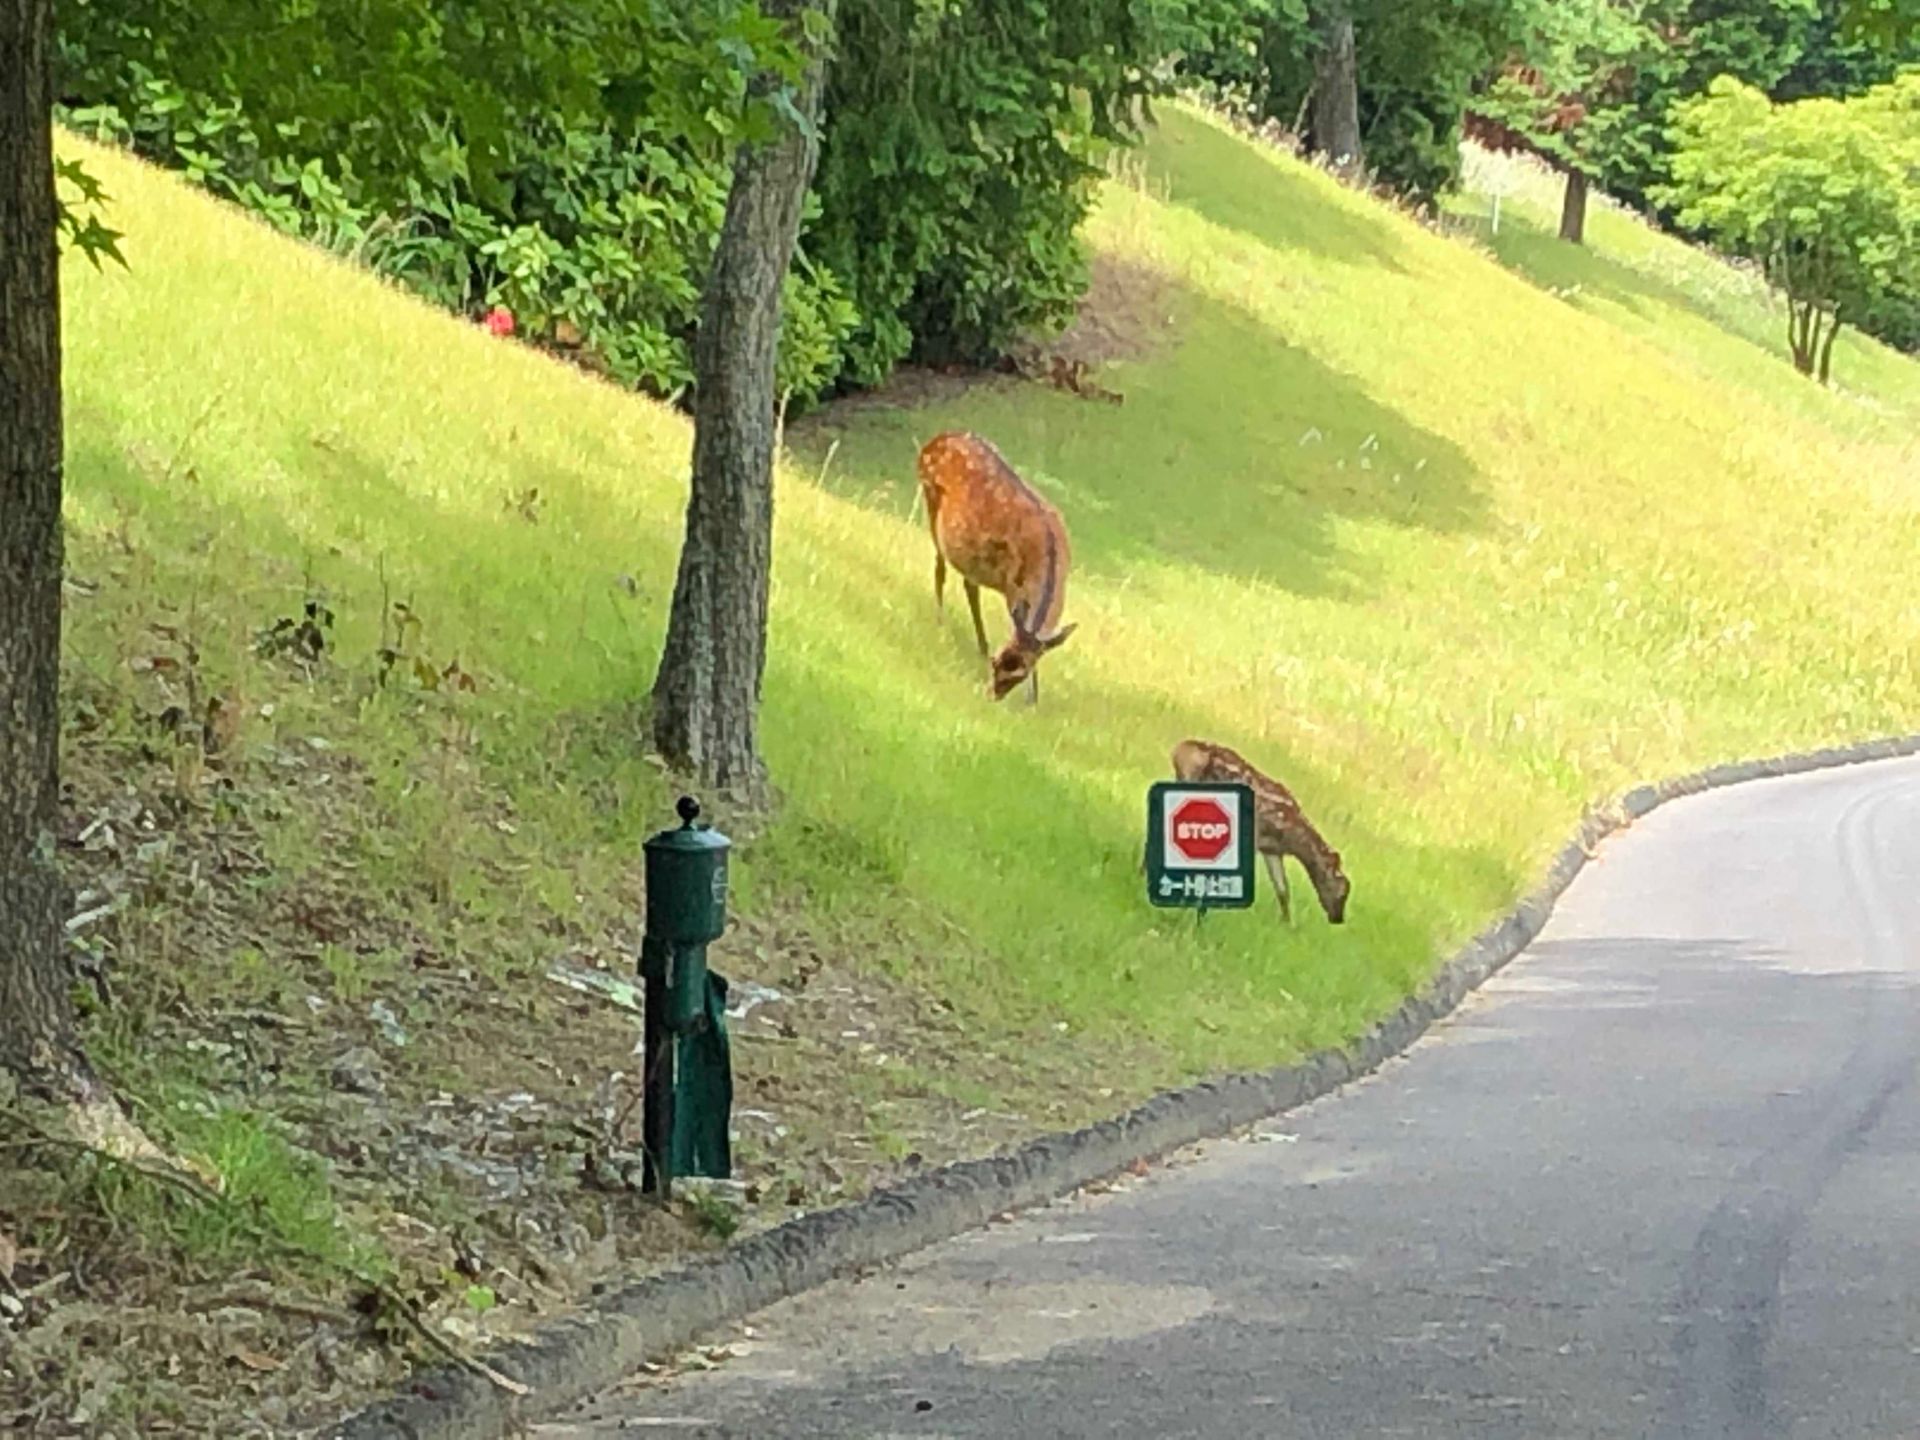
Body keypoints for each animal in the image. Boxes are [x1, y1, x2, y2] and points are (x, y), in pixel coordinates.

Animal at [917, 428, 1082, 706]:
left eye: (1020, 673)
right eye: (997, 662)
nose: (991, 695)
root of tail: (935, 440)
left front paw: (1033, 700)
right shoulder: (1012, 583)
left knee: (969, 583)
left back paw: (980, 643)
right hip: (931, 501)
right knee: (940, 567)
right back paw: (942, 622)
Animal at [1167, 737, 1351, 929]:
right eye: (1343, 890)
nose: (1338, 918)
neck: (1292, 838)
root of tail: (1181, 749)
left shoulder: (1271, 850)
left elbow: (1282, 888)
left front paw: (1287, 924)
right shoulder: (1253, 837)